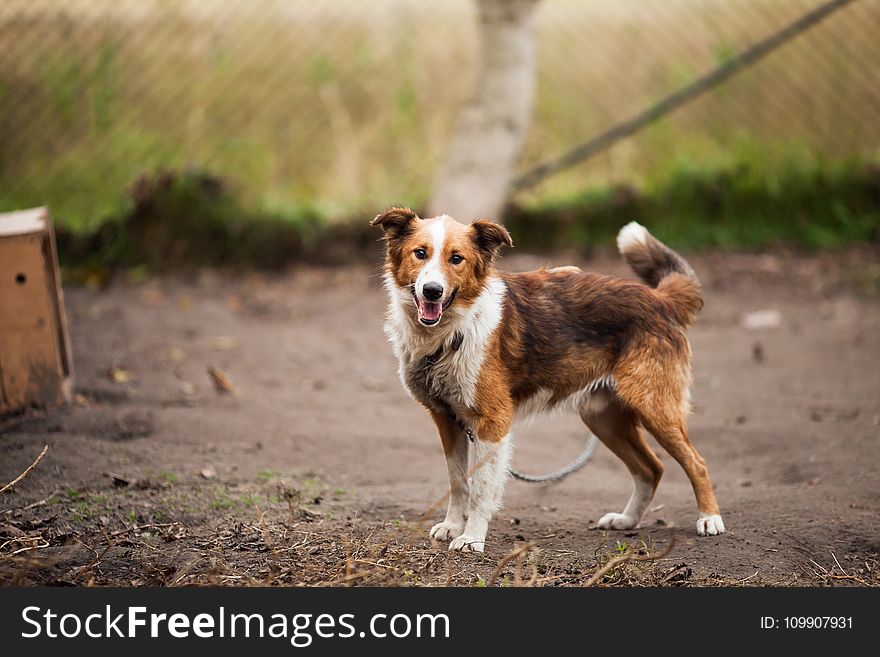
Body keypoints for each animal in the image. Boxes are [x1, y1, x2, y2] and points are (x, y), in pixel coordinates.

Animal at [372, 208, 720, 552]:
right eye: (420, 253)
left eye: (456, 259)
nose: (432, 290)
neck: (452, 332)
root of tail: (660, 299)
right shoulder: (447, 419)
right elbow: (458, 480)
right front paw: (452, 526)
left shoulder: (492, 423)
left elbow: (481, 488)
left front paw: (472, 538)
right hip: (603, 418)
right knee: (651, 468)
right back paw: (627, 520)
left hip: (654, 408)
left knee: (697, 463)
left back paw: (709, 519)